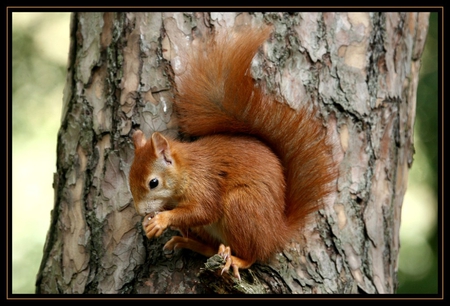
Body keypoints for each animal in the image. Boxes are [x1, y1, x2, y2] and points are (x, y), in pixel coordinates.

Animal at [128, 25, 336, 280]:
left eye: (153, 183)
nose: (140, 212)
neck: (186, 170)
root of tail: (276, 233)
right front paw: (152, 223)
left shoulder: (205, 183)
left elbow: (204, 210)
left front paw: (162, 219)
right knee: (213, 248)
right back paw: (189, 243)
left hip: (241, 206)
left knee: (253, 254)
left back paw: (236, 259)